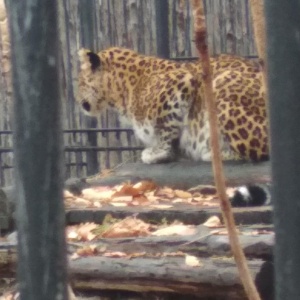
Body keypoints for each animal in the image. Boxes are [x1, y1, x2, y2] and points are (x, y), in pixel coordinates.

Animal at [77, 46, 270, 166]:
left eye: (80, 81)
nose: (78, 101)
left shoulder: (181, 81)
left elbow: (166, 128)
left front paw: (158, 153)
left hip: (220, 86)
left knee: (259, 149)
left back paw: (215, 153)